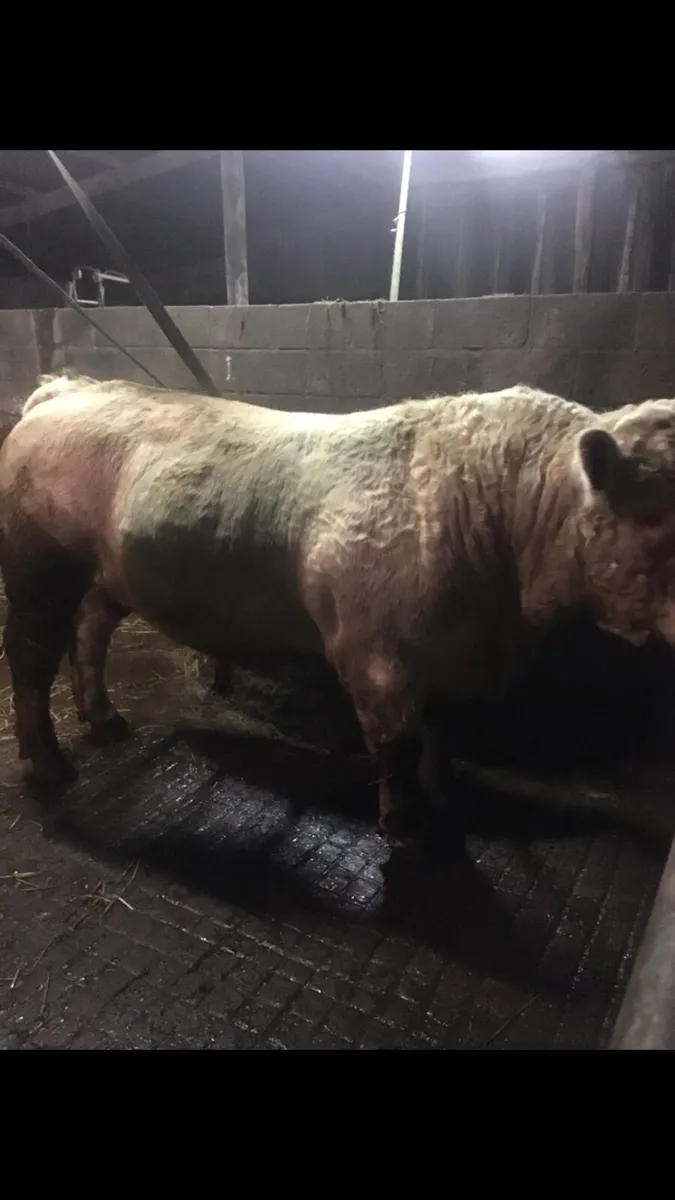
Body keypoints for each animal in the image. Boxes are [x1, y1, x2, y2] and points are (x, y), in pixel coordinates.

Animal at [2, 370, 675, 848]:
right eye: (655, 516)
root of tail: (69, 387)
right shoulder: (378, 657)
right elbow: (397, 745)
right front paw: (406, 826)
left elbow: (436, 738)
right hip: (38, 567)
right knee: (30, 660)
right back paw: (49, 765)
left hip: (104, 576)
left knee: (89, 632)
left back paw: (102, 719)